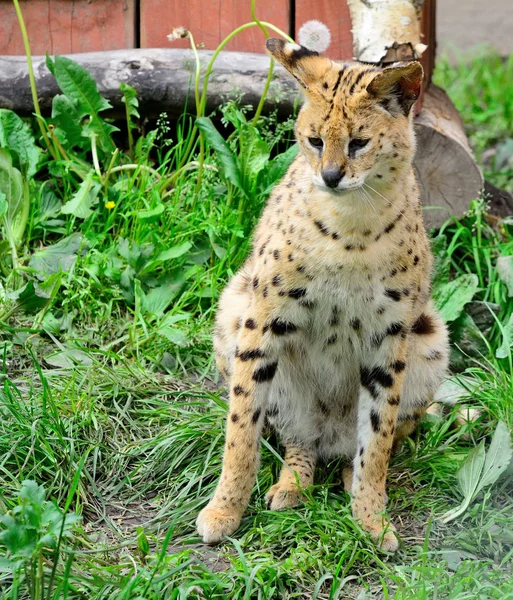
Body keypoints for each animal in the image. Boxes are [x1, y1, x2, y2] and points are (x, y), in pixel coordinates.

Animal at [196, 38, 448, 552]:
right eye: (314, 141)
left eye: (358, 143)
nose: (330, 176)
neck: (351, 223)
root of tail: (331, 435)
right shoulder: (263, 317)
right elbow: (241, 426)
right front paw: (225, 509)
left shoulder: (389, 333)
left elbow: (378, 435)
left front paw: (371, 518)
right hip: (234, 307)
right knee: (298, 438)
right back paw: (291, 484)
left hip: (431, 335)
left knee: (379, 436)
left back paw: (353, 481)